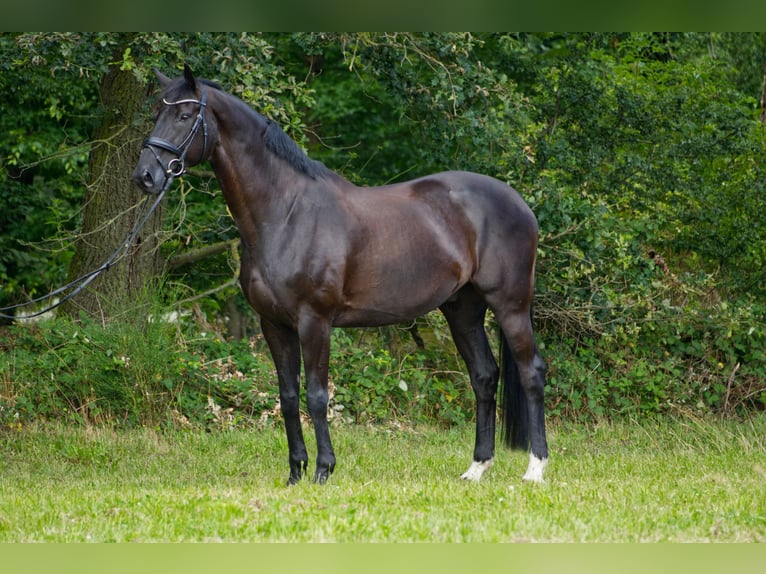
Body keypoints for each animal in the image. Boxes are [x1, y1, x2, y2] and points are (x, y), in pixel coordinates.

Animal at [134, 65, 552, 486]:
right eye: (156, 113)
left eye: (185, 115)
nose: (145, 176)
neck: (286, 213)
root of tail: (519, 204)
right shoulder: (273, 324)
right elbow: (288, 397)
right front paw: (295, 473)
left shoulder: (314, 320)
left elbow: (317, 396)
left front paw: (323, 470)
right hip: (462, 309)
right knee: (483, 376)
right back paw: (477, 468)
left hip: (510, 305)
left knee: (531, 373)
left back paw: (535, 468)